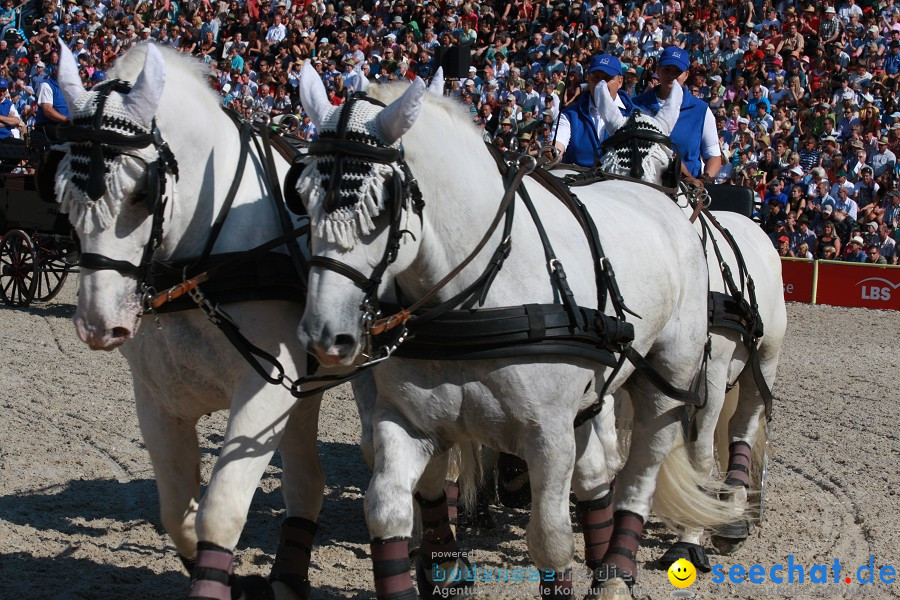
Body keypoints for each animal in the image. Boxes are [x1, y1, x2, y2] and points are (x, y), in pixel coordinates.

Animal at [54, 41, 326, 596]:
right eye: (63, 193)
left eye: (142, 192)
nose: (98, 324)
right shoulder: (160, 396)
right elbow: (177, 510)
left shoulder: (267, 388)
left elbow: (219, 510)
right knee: (307, 484)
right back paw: (288, 577)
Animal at [296, 63, 740, 596]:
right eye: (300, 193)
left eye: (382, 200)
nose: (325, 334)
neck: (475, 293)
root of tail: (658, 201)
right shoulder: (406, 420)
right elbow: (388, 509)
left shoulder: (547, 436)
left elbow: (549, 539)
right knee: (597, 476)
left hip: (668, 381)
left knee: (640, 472)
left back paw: (618, 569)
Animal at [596, 83, 788, 568]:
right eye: (602, 165)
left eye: (669, 169)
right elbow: (614, 449)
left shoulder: (713, 374)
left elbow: (701, 454)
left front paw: (691, 538)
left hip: (763, 362)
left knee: (743, 426)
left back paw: (733, 511)